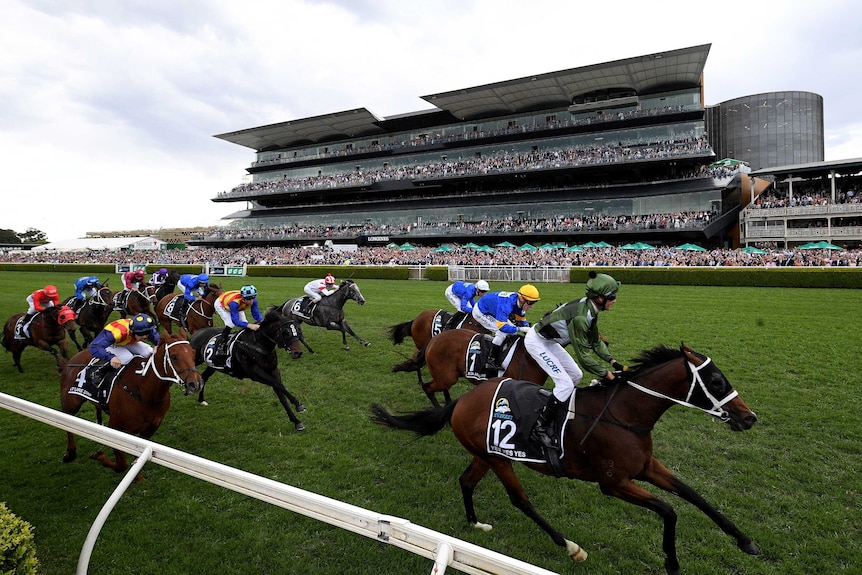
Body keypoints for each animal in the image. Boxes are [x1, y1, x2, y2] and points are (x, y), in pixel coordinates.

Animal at [59, 330, 204, 480]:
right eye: (174, 357)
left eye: (193, 353)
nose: (196, 383)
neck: (144, 390)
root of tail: (71, 360)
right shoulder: (115, 426)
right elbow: (121, 465)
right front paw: (100, 456)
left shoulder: (150, 428)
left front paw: (136, 477)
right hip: (70, 403)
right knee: (66, 419)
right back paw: (70, 453)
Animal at [368, 344, 760, 572]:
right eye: (716, 381)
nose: (749, 418)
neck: (624, 414)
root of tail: (462, 400)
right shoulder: (613, 483)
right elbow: (669, 509)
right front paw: (672, 562)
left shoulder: (647, 467)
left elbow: (694, 495)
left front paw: (745, 541)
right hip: (500, 460)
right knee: (520, 500)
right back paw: (570, 546)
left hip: (487, 454)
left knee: (466, 481)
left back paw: (475, 523)